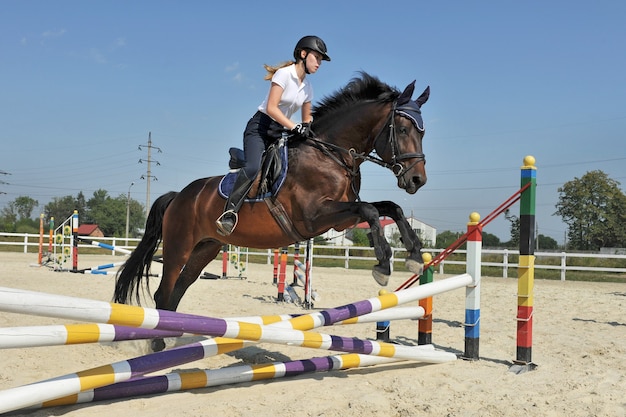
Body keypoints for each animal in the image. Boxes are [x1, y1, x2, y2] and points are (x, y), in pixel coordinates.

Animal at [113, 73, 428, 350]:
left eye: (422, 132)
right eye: (402, 130)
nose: (417, 180)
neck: (331, 154)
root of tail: (178, 196)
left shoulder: (340, 221)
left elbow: (390, 208)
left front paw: (414, 255)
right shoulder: (315, 217)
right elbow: (371, 210)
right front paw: (383, 266)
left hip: (205, 248)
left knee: (178, 290)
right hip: (179, 247)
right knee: (164, 291)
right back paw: (156, 343)